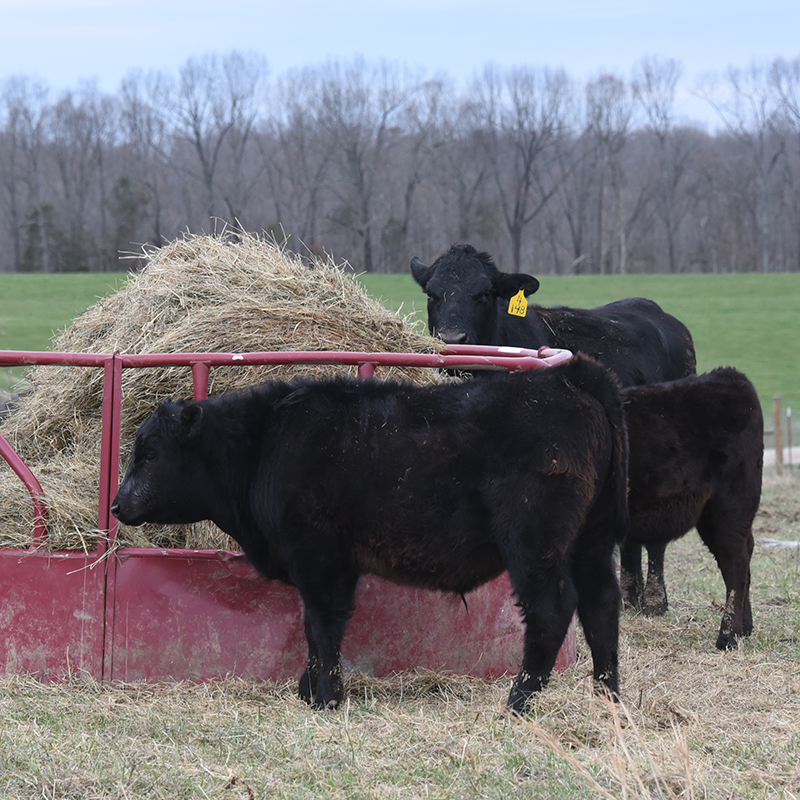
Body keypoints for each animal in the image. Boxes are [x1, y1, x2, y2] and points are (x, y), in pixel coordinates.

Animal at [112, 355, 628, 714]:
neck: (267, 442)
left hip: (535, 542)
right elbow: (318, 630)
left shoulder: (319, 558)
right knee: (602, 604)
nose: (117, 504)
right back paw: (609, 701)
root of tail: (571, 378)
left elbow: (322, 626)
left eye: (150, 454)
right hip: (593, 540)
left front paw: (323, 697)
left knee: (552, 609)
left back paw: (518, 703)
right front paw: (311, 691)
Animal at [411, 243, 697, 615]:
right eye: (432, 293)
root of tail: (660, 315)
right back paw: (629, 595)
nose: (452, 337)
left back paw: (653, 599)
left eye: (485, 293)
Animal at [619, 367, 763, 649]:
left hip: (731, 506)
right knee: (742, 556)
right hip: (710, 515)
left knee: (736, 565)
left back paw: (728, 637)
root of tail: (732, 376)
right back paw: (745, 628)